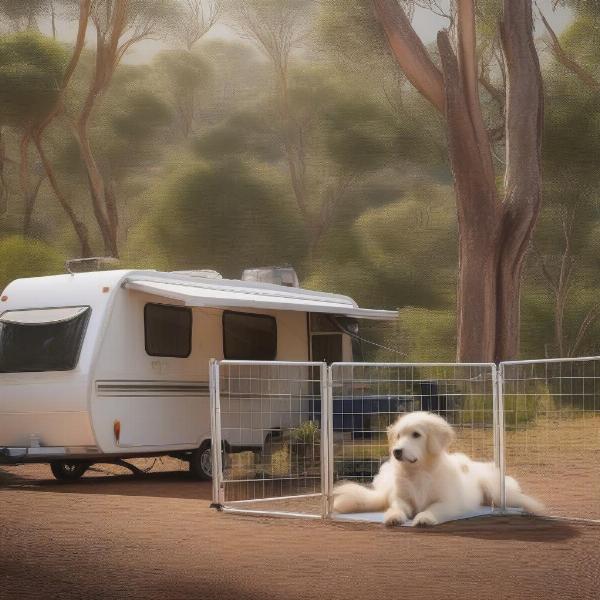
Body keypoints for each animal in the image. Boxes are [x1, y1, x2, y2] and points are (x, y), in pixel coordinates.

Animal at [332, 412, 544, 524]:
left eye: (416, 435)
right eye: (398, 436)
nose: (396, 451)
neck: (419, 472)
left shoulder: (447, 502)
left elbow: (433, 509)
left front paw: (424, 518)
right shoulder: (401, 497)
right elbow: (398, 506)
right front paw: (394, 516)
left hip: (496, 491)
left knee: (516, 499)